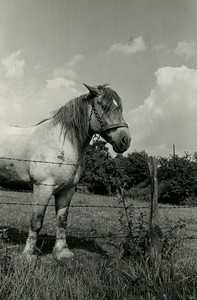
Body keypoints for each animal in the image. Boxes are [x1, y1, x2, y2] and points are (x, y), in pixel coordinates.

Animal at [0, 83, 131, 258]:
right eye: (104, 106)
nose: (125, 140)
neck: (61, 143)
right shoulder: (42, 188)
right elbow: (36, 221)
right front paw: (28, 254)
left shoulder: (67, 190)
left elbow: (62, 221)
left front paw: (62, 251)